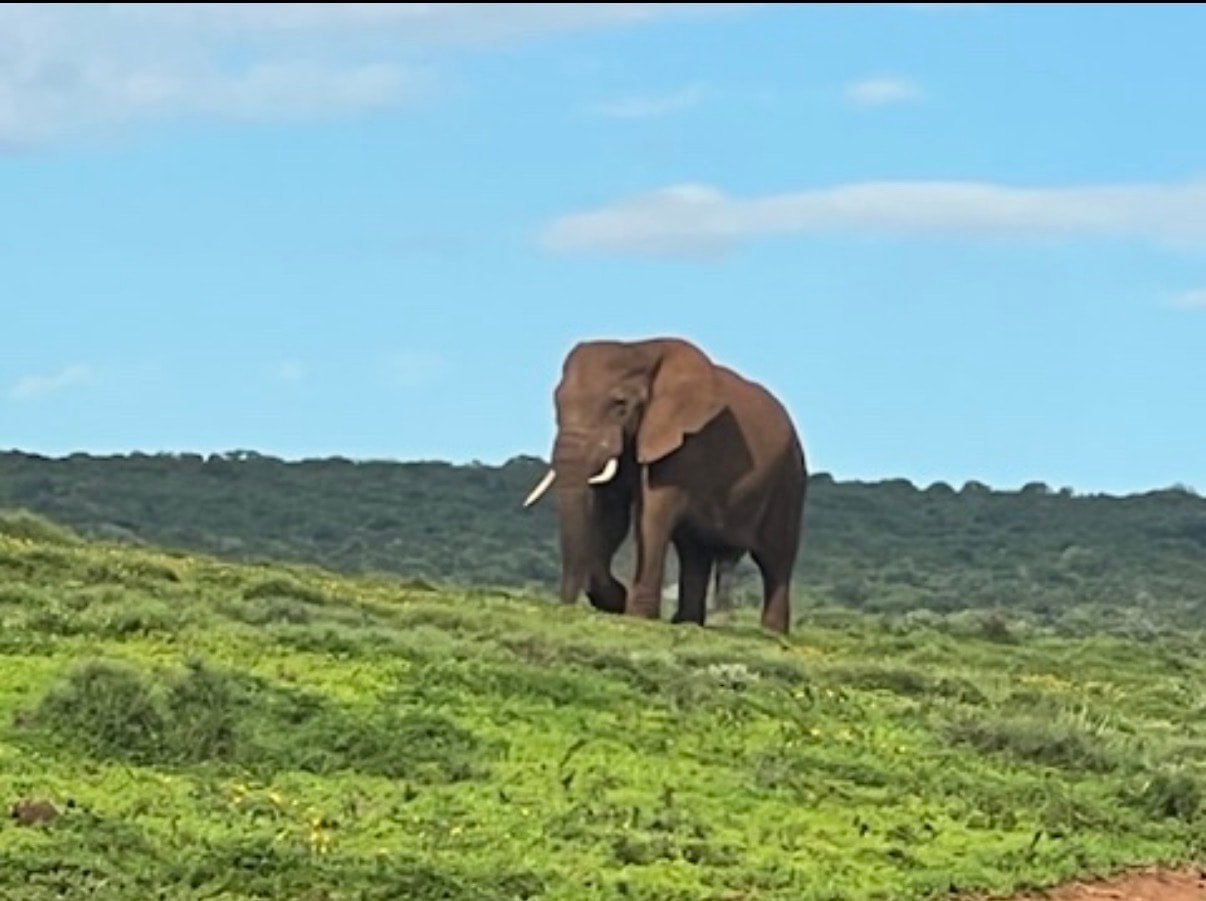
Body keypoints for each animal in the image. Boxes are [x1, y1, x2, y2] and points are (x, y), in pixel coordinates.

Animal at [522, 337, 807, 635]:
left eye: (620, 405)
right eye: (556, 403)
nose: (565, 606)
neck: (640, 349)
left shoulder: (683, 443)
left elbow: (652, 514)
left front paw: (637, 616)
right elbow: (611, 515)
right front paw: (616, 600)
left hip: (789, 477)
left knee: (775, 558)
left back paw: (772, 634)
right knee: (695, 549)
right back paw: (687, 622)